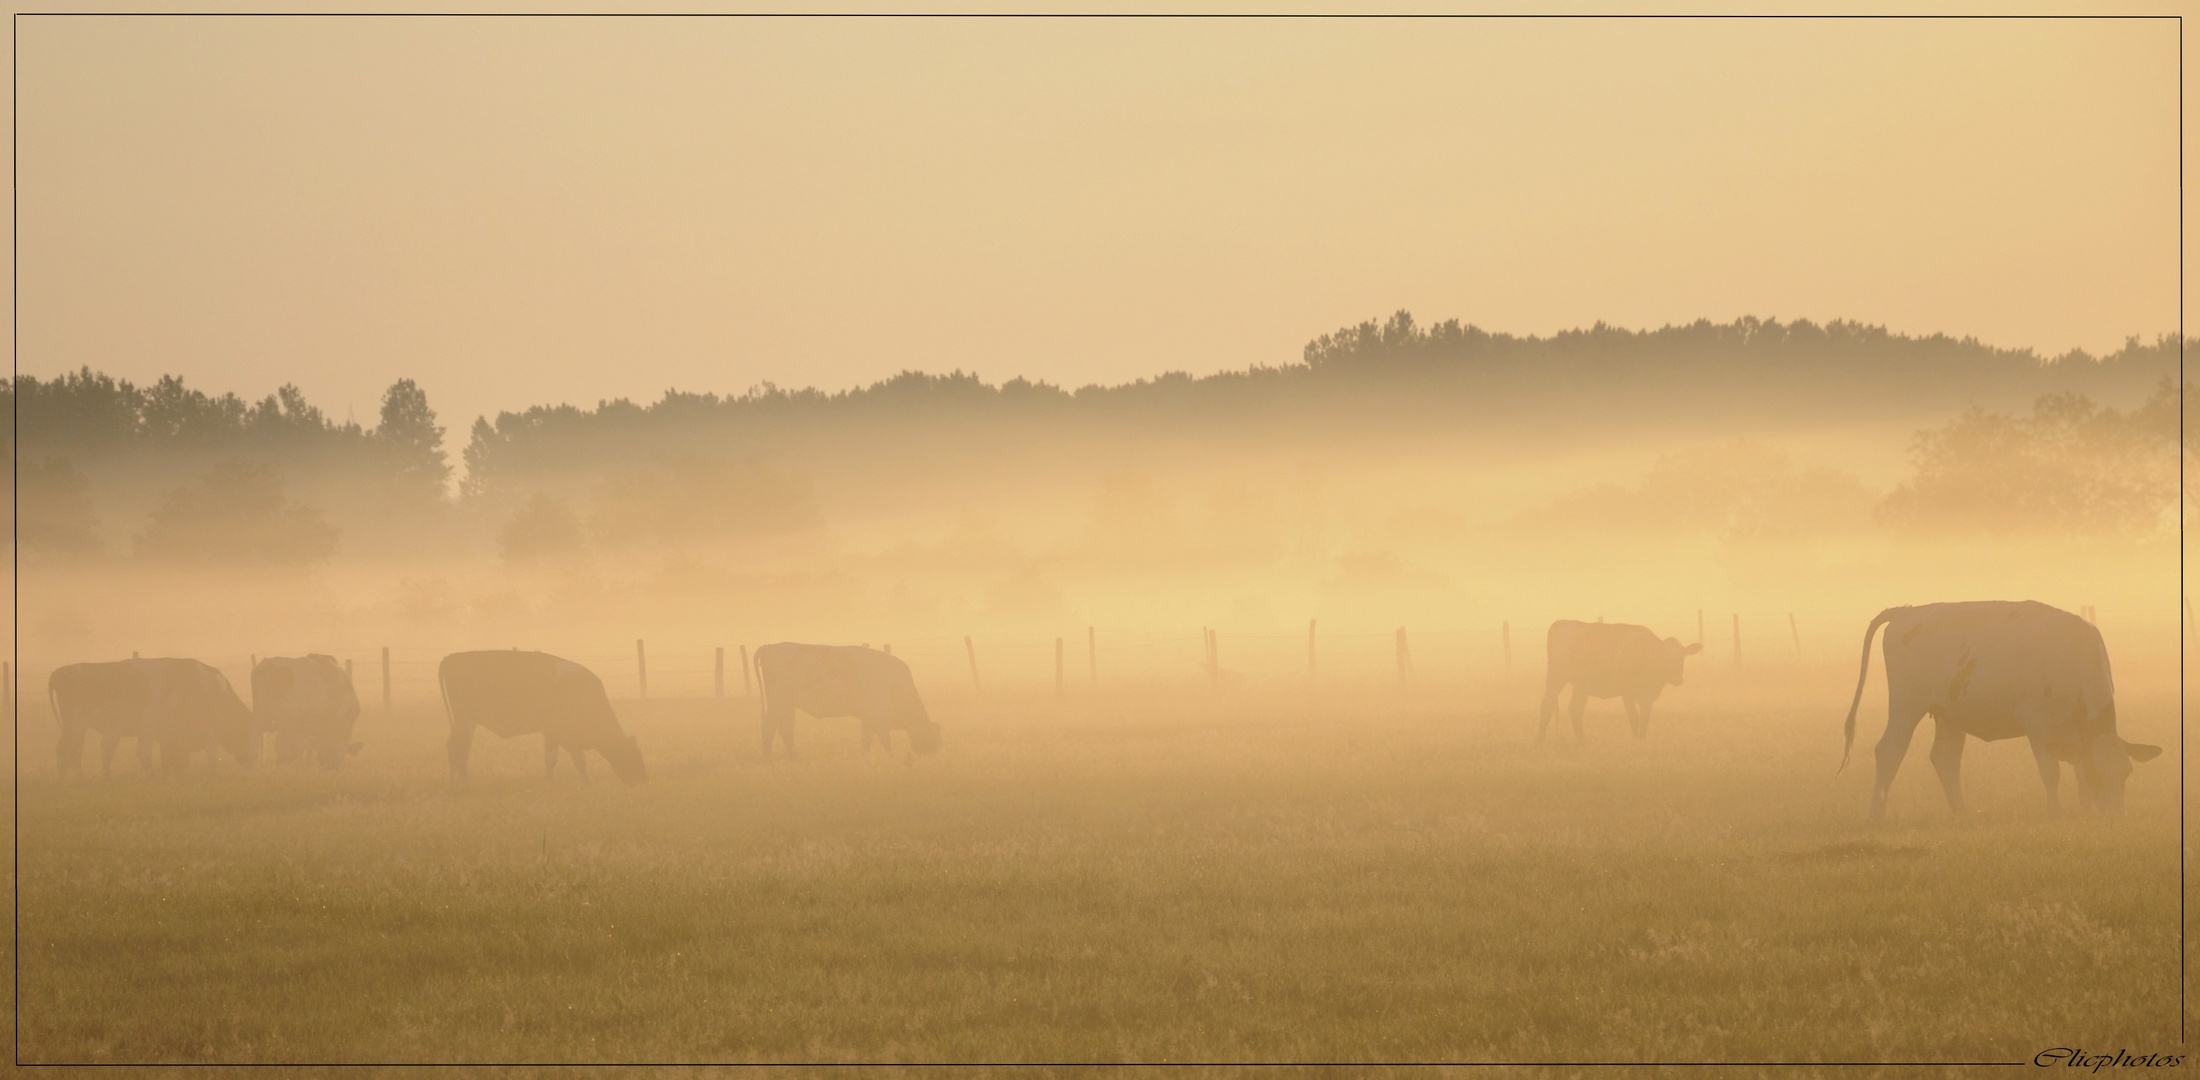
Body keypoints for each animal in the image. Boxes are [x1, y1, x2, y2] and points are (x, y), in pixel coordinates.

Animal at [51, 659, 259, 778]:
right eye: (249, 733)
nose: (252, 762)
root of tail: (62, 671)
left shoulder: (162, 734)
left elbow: (169, 756)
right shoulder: (207, 732)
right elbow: (211, 755)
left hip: (78, 729)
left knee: (74, 752)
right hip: (75, 726)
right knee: (65, 750)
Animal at [435, 651, 642, 787]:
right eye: (633, 754)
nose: (643, 780)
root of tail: (452, 657)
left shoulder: (571, 735)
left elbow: (579, 762)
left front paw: (587, 783)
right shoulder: (552, 732)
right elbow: (551, 759)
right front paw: (549, 784)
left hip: (467, 721)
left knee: (459, 746)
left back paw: (459, 780)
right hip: (465, 718)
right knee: (457, 746)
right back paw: (461, 782)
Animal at [752, 646, 941, 765]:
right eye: (931, 739)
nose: (934, 758)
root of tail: (770, 647)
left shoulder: (868, 719)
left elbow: (867, 739)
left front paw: (865, 757)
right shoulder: (879, 719)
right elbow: (885, 741)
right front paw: (891, 759)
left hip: (787, 706)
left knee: (785, 730)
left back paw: (794, 758)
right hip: (778, 702)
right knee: (769, 727)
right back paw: (768, 759)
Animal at [1540, 624, 1707, 743]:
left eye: (1682, 656)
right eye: (1663, 657)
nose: (1677, 679)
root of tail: (1562, 623)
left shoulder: (1649, 696)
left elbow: (1645, 718)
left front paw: (1642, 739)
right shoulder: (1627, 693)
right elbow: (1634, 717)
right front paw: (1635, 740)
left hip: (1580, 685)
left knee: (1575, 708)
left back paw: (1582, 739)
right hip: (1556, 677)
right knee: (1547, 704)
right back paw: (1539, 739)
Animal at [1839, 598, 2164, 818]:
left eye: (2126, 773)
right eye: (2100, 775)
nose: (2116, 815)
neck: (2072, 654)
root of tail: (1909, 611)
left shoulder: (2074, 729)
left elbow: (2077, 766)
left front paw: (2086, 812)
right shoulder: (2037, 720)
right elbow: (2051, 770)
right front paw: (2057, 813)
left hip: (1949, 713)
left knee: (1945, 758)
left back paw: (1962, 814)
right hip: (1906, 705)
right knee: (1889, 752)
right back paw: (1876, 814)